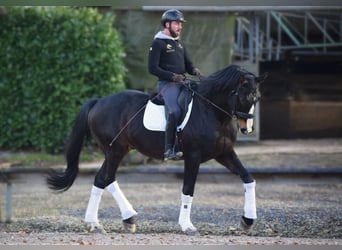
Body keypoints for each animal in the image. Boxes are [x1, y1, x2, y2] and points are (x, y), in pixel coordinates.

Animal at [47, 64, 268, 234]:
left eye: (257, 98)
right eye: (243, 96)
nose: (247, 129)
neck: (212, 111)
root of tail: (98, 102)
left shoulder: (224, 153)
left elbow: (248, 179)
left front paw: (248, 221)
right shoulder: (193, 156)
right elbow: (188, 188)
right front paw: (186, 225)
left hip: (116, 150)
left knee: (101, 179)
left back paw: (99, 223)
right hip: (115, 150)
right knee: (107, 178)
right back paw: (122, 218)